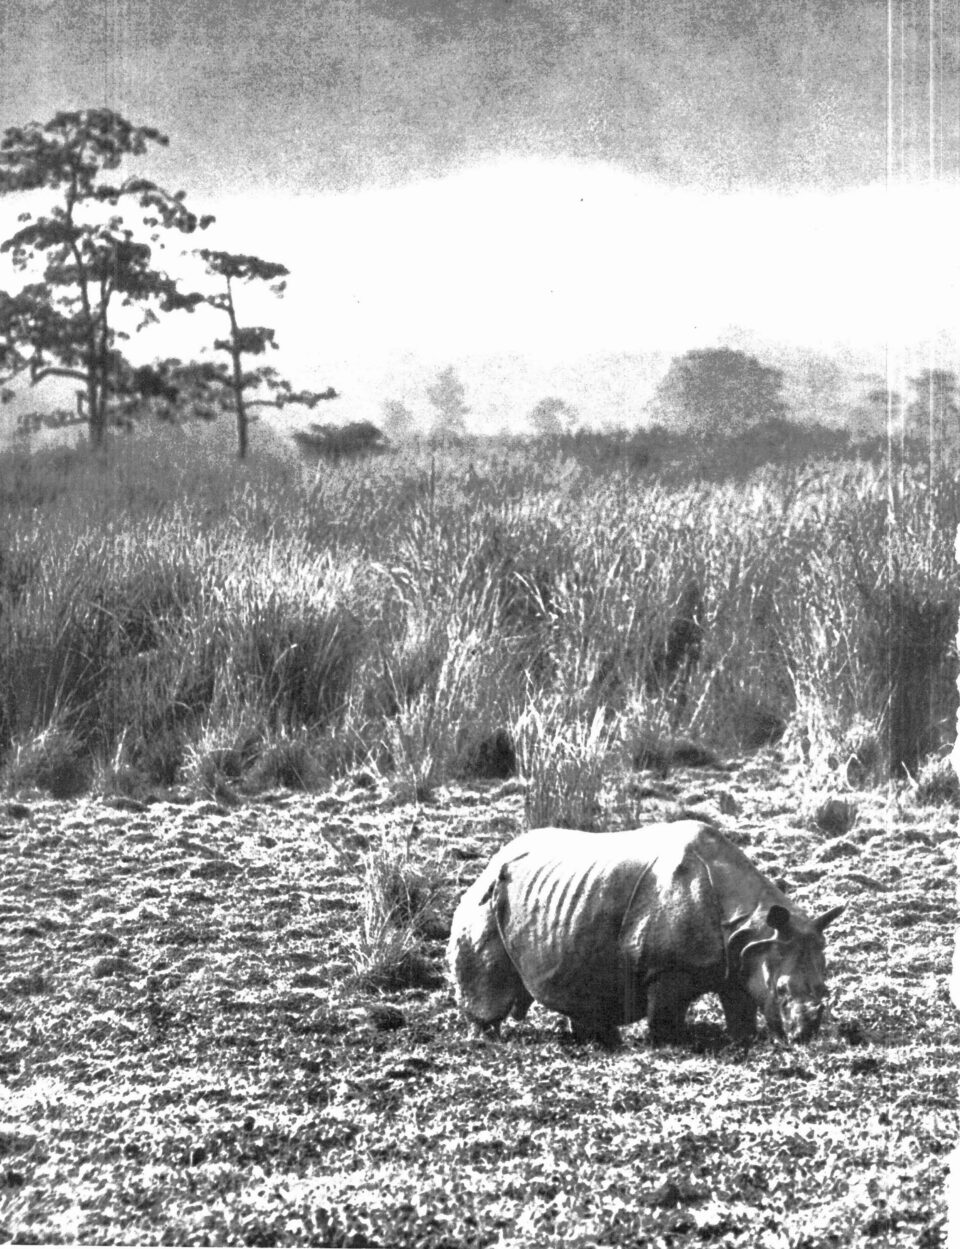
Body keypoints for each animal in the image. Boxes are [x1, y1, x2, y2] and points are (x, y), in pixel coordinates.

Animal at [447, 821, 843, 1046]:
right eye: (782, 990)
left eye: (826, 990)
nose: (805, 1036)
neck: (754, 923)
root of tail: (490, 862)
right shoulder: (667, 968)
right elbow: (665, 1016)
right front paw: (672, 1045)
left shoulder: (740, 960)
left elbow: (741, 1009)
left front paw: (742, 1042)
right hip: (486, 900)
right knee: (488, 984)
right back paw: (485, 1040)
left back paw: (597, 1041)